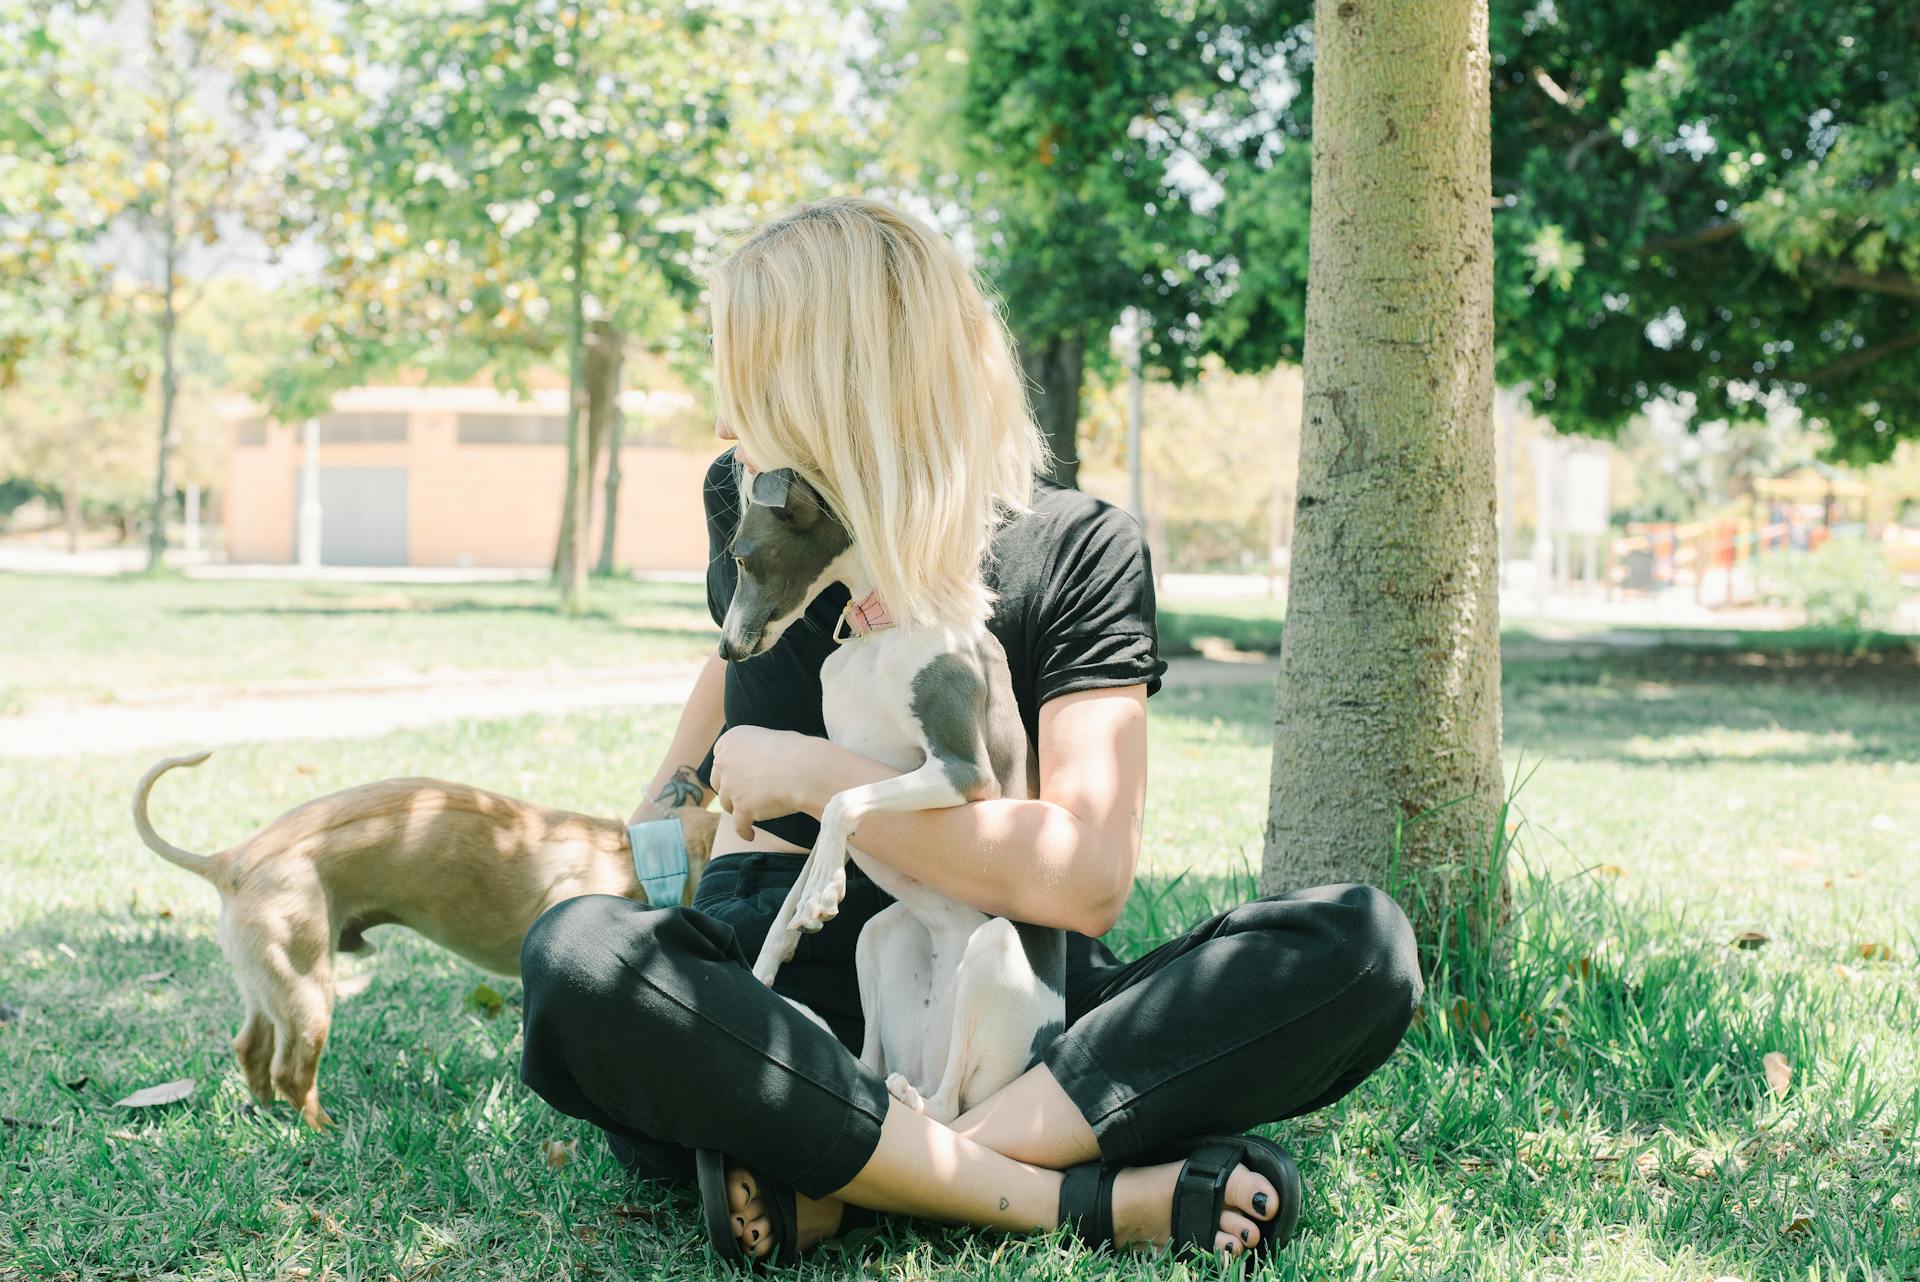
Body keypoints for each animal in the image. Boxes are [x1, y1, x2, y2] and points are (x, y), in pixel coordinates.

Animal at [129, 752, 714, 1128]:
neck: (638, 855)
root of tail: (232, 860)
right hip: (308, 991)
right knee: (292, 1072)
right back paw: (323, 1131)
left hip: (267, 983)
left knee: (252, 1049)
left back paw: (269, 1116)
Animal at [718, 468, 1067, 1120]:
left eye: (743, 557)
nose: (726, 648)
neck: (885, 629)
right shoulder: (838, 775)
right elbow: (795, 890)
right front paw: (769, 963)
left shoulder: (965, 772)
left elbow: (843, 803)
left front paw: (824, 894)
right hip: (879, 939)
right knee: (870, 1066)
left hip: (994, 951)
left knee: (946, 1107)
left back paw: (918, 1099)